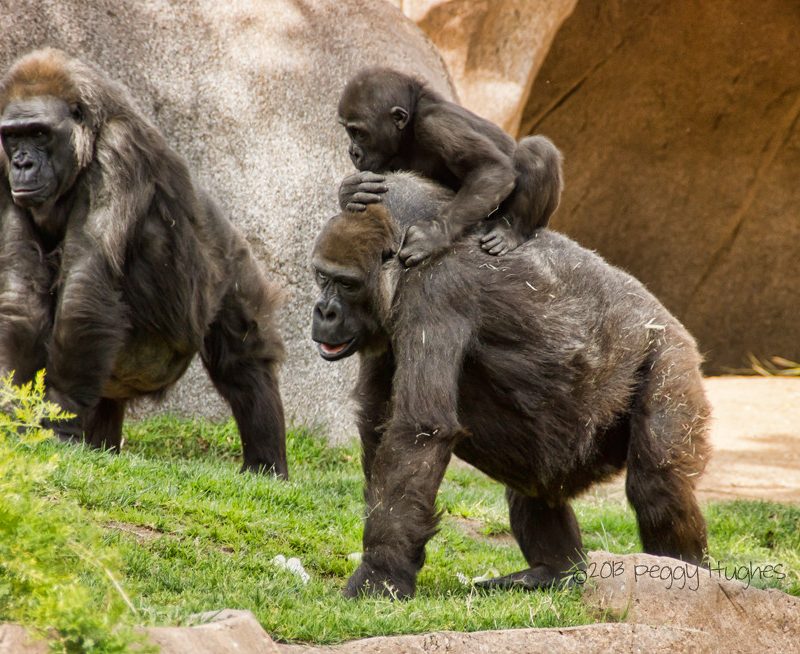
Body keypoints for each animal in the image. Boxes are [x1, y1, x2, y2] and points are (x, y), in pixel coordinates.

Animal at [0, 48, 288, 476]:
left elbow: (86, 285)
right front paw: (14, 410)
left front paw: (60, 417)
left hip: (229, 266)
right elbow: (20, 291)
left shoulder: (120, 152)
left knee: (244, 361)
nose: (22, 164)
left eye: (39, 134)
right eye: (13, 136)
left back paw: (266, 466)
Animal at [311, 171, 710, 598]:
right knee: (534, 479)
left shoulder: (435, 290)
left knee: (657, 483)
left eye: (346, 284)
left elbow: (418, 429)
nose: (324, 311)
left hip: (670, 354)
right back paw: (552, 571)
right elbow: (377, 423)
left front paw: (380, 573)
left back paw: (685, 574)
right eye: (321, 276)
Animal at [336, 67, 563, 266]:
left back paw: (512, 230)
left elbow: (492, 168)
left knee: (536, 150)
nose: (353, 152)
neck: (409, 125)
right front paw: (350, 191)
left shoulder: (436, 123)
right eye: (348, 131)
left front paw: (434, 235)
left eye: (358, 133)